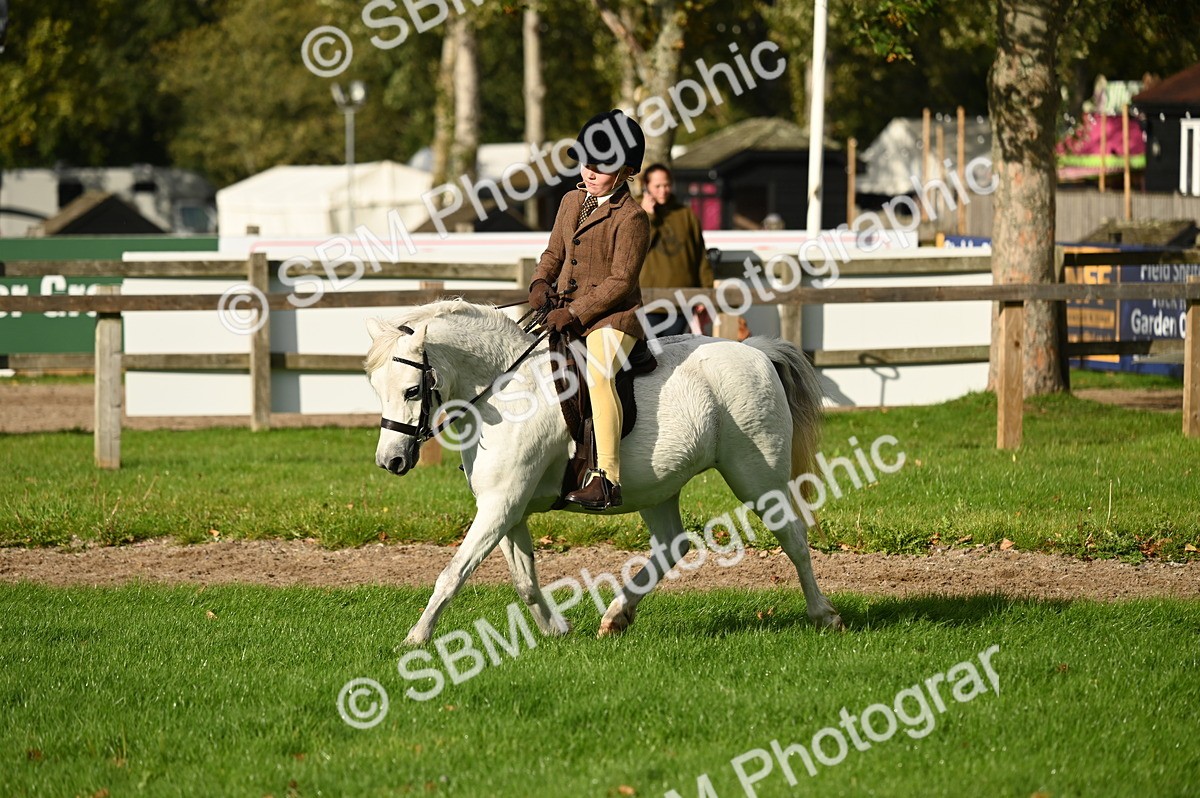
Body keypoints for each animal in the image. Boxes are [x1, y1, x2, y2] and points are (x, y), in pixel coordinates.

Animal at [365, 299, 844, 645]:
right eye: (377, 389)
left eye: (412, 390)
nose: (390, 461)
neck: (506, 389)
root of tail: (756, 352)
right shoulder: (506, 509)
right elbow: (524, 580)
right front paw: (556, 629)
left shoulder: (500, 506)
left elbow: (453, 573)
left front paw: (416, 638)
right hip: (656, 489)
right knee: (672, 544)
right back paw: (617, 615)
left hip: (756, 477)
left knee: (793, 538)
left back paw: (824, 615)